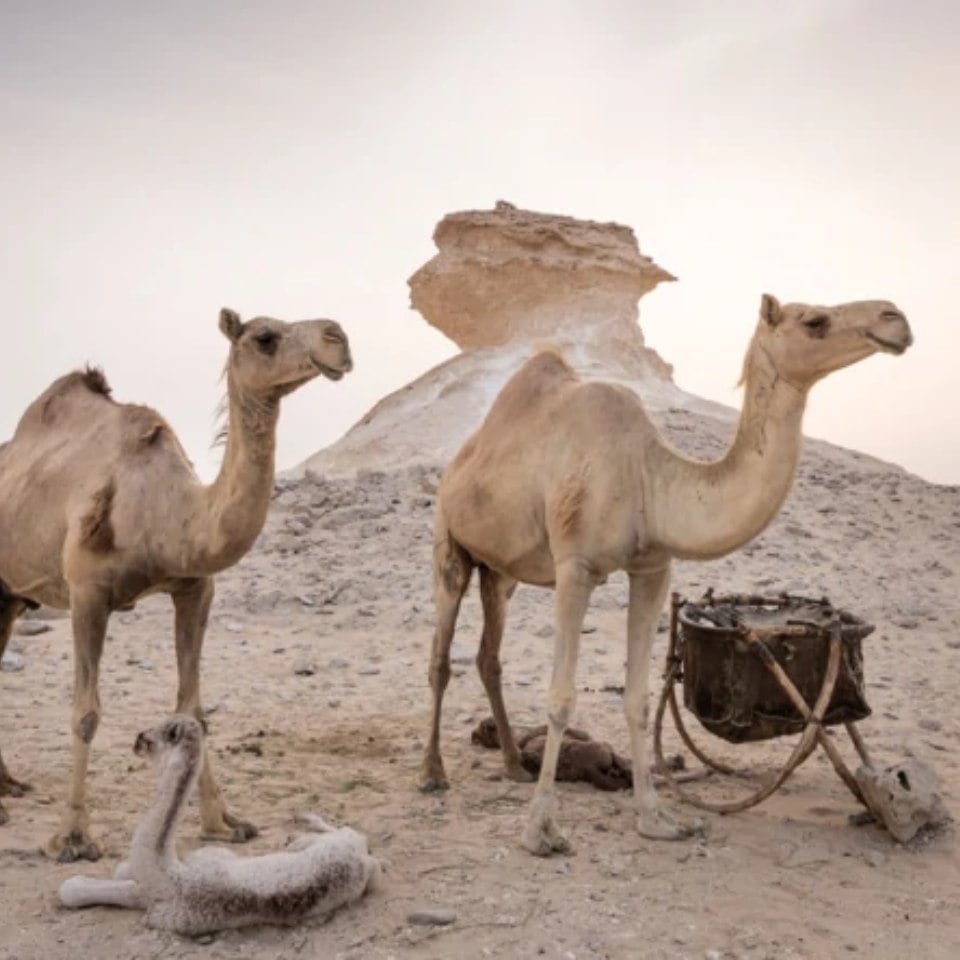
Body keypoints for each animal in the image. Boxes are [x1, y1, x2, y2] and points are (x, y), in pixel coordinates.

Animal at [0, 310, 352, 864]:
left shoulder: (194, 588)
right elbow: (86, 712)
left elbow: (194, 711)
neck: (165, 512)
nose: (337, 337)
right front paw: (73, 837)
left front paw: (223, 822)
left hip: (13, 596)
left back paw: (8, 785)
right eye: (264, 336)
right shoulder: (87, 593)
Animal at [58, 716, 382, 932]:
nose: (136, 740)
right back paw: (302, 820)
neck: (165, 871)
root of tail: (360, 856)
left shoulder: (157, 904)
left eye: (151, 739)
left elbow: (76, 888)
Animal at [422, 292, 916, 856]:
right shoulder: (575, 568)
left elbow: (637, 698)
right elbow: (561, 698)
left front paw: (656, 818)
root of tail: (459, 461)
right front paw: (539, 831)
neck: (647, 479)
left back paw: (511, 764)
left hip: (500, 570)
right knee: (441, 655)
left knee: (489, 656)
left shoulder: (653, 568)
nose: (894, 318)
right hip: (449, 540)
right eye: (815, 320)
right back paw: (433, 773)